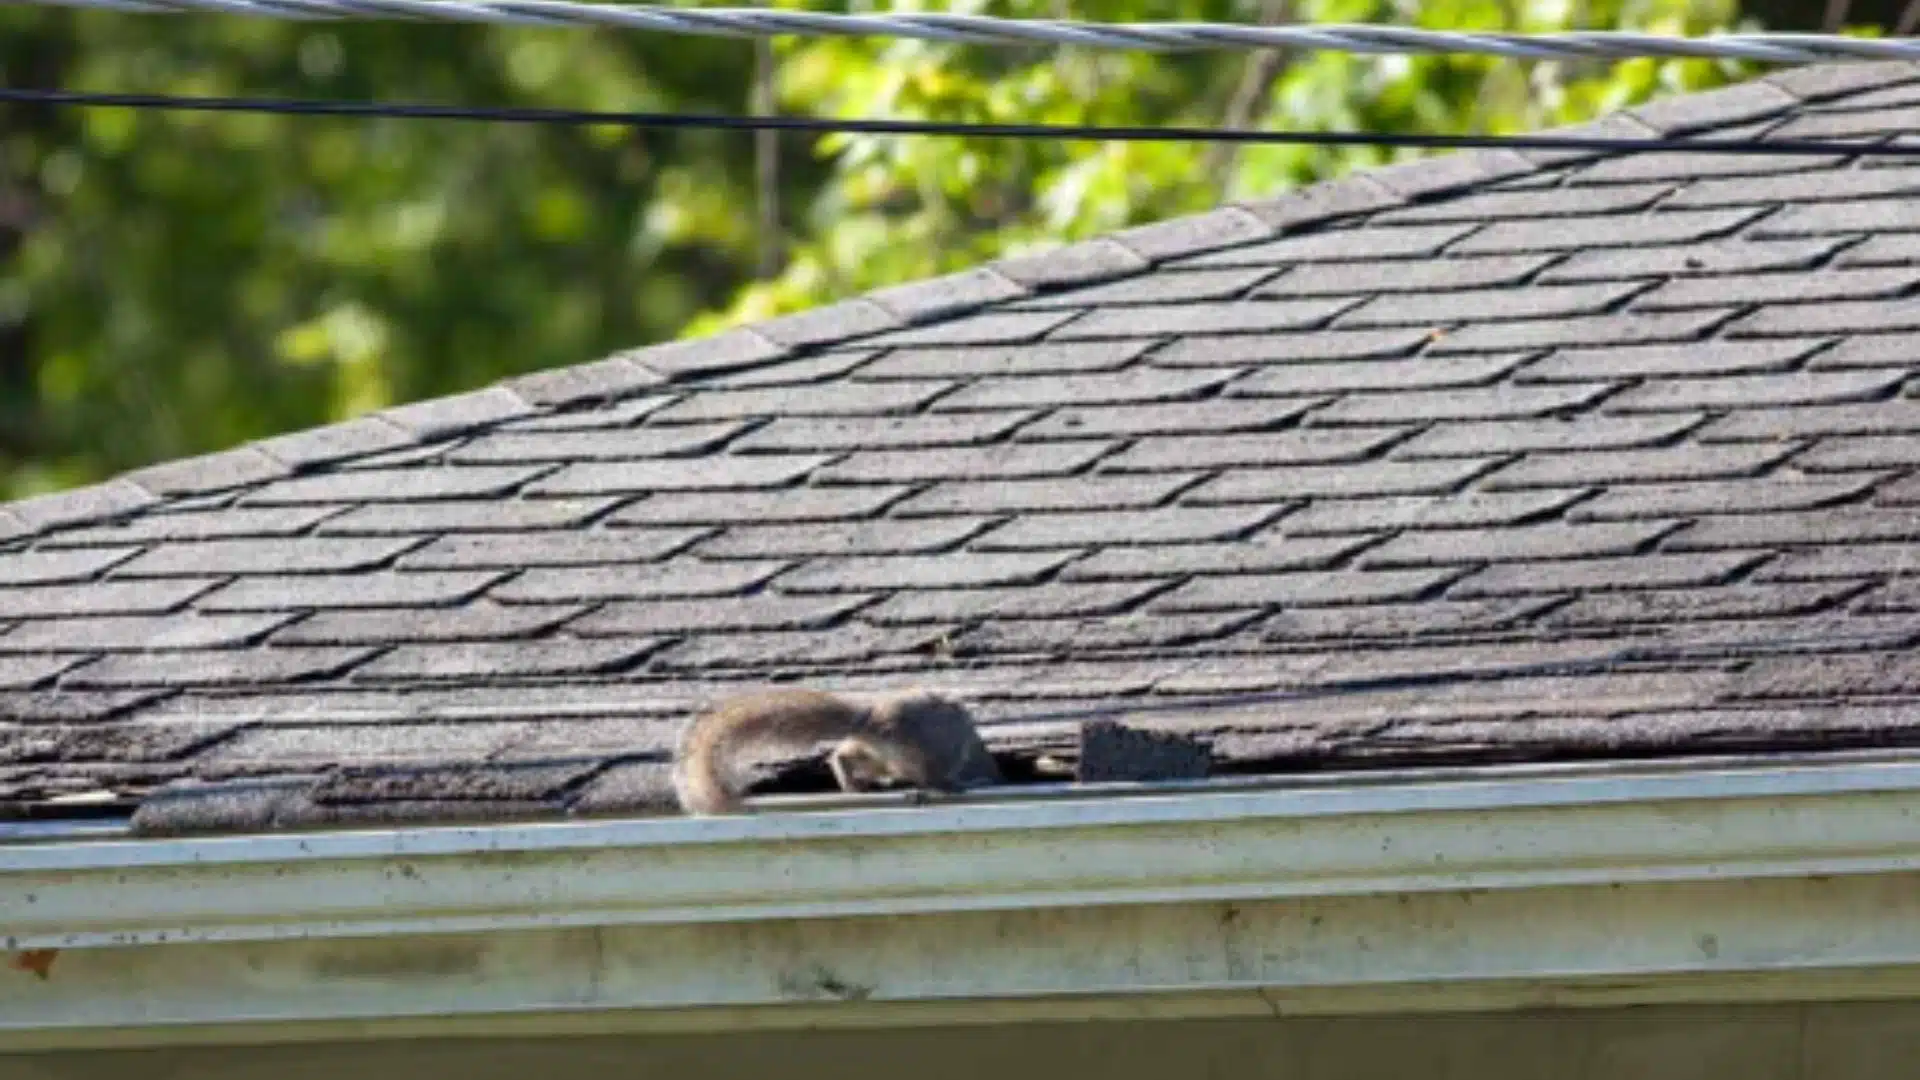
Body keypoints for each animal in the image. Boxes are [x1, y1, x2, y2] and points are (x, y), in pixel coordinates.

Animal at [671, 686, 1003, 815]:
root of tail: (873, 720)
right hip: (922, 752)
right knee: (927, 776)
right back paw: (950, 785)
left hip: (878, 757)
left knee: (841, 755)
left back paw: (853, 784)